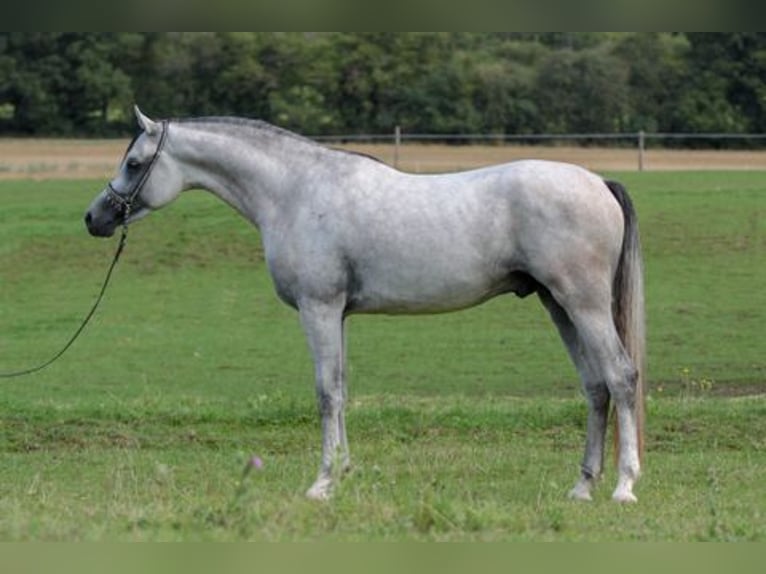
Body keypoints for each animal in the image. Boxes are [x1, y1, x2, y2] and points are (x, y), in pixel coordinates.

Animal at [85, 107, 645, 503]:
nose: (95, 218)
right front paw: (344, 474)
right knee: (595, 387)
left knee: (620, 377)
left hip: (582, 302)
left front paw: (322, 483)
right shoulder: (338, 314)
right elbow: (341, 389)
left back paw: (623, 486)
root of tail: (599, 182)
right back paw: (581, 487)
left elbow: (326, 393)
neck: (294, 191)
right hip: (558, 304)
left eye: (134, 163)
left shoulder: (318, 309)